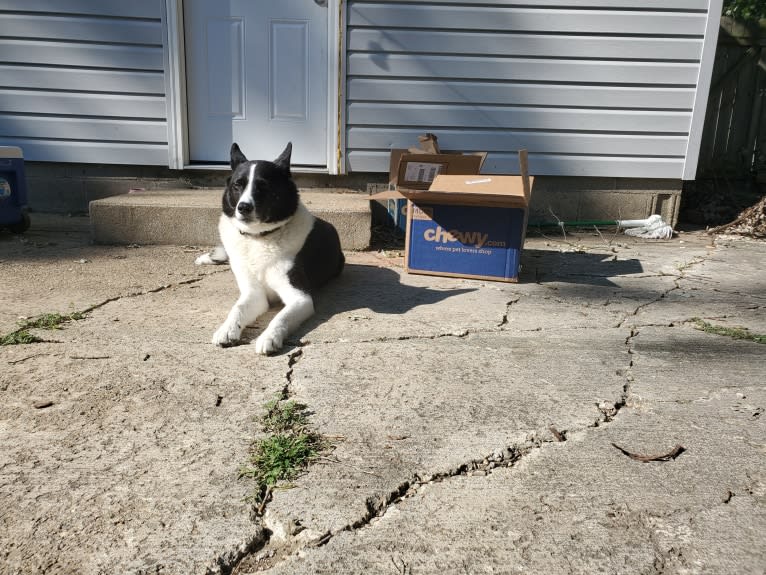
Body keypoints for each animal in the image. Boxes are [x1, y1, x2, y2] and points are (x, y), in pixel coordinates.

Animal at [195, 142, 344, 354]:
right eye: (237, 185)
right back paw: (209, 257)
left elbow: (280, 317)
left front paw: (269, 337)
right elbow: (237, 308)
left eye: (263, 186)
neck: (259, 238)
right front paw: (227, 329)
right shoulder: (253, 293)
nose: (243, 207)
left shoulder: (301, 298)